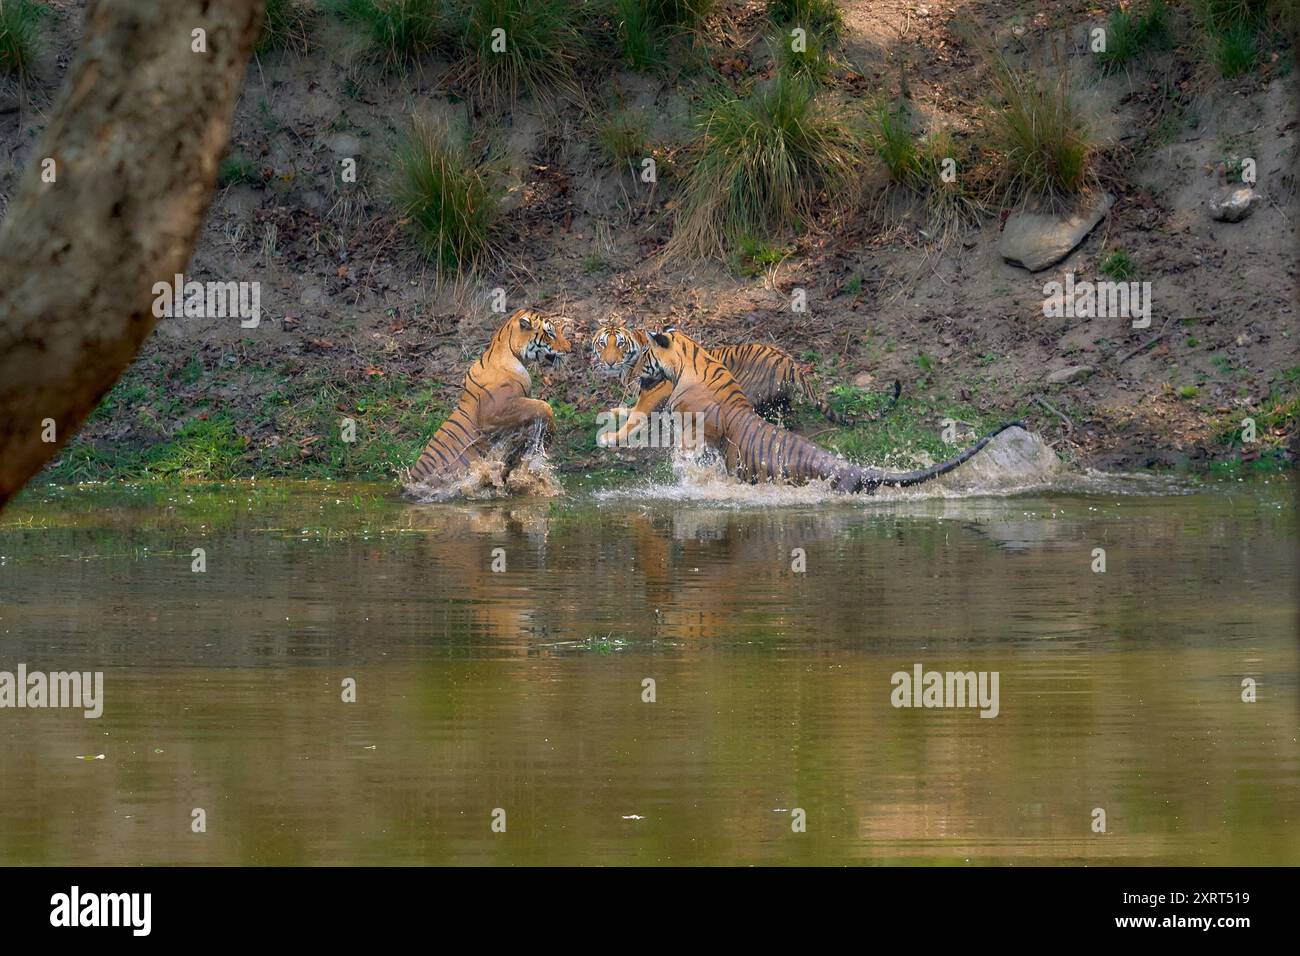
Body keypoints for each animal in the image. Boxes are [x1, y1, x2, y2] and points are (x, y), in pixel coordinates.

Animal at [403, 310, 572, 494]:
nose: (569, 349)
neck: (513, 355)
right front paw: (546, 439)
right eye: (550, 334)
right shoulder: (494, 411)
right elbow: (543, 406)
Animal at [595, 325, 899, 447]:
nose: (609, 362)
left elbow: (637, 414)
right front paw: (616, 411)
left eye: (619, 344)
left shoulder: (656, 392)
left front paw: (611, 437)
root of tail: (790, 362)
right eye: (602, 344)